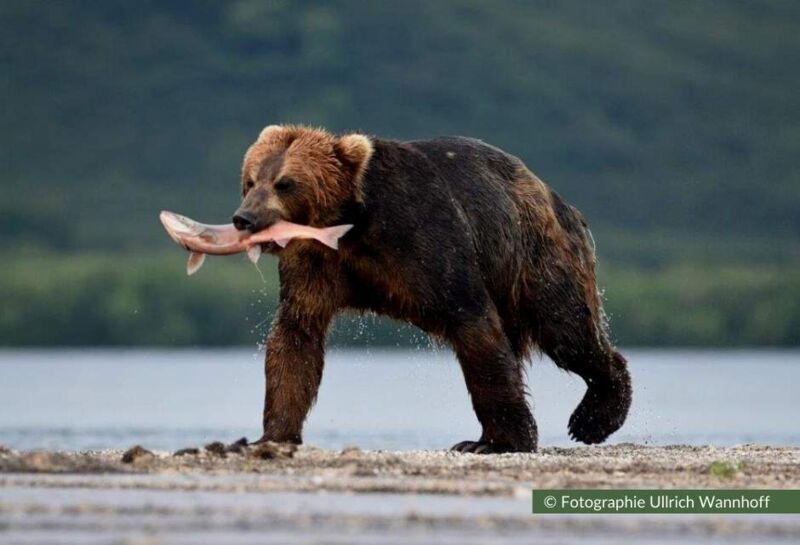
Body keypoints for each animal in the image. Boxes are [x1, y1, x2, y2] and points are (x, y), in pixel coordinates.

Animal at [232, 124, 632, 453]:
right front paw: (271, 436)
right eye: (250, 181)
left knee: (566, 329)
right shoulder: (316, 265)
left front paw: (499, 442)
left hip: (534, 253)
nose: (244, 218)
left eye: (285, 183)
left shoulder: (423, 235)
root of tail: (557, 198)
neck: (349, 228)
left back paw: (593, 417)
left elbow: (473, 323)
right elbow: (296, 337)